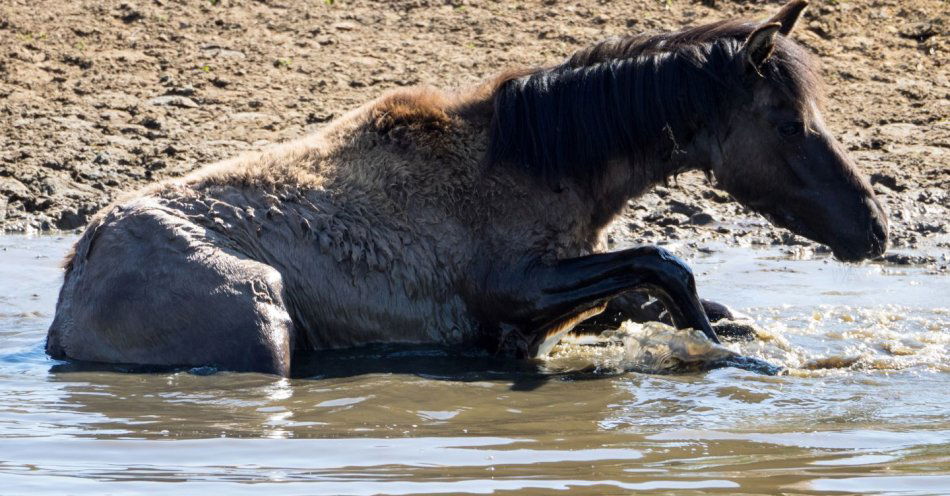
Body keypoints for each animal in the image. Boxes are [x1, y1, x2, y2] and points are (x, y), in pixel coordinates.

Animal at [46, 0, 892, 372]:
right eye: (789, 123)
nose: (875, 228)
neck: (544, 161)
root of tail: (73, 281)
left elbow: (692, 296)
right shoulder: (514, 290)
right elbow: (668, 267)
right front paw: (735, 360)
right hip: (263, 319)